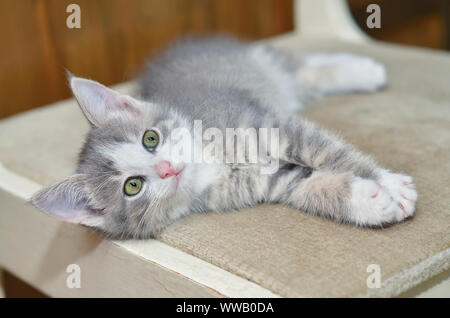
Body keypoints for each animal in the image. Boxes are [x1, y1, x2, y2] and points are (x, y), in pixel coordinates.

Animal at [30, 35, 418, 238]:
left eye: (150, 139)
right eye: (133, 186)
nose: (168, 168)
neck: (209, 160)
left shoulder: (270, 127)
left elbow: (332, 152)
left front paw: (391, 185)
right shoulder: (269, 180)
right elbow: (310, 187)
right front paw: (369, 201)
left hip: (255, 66)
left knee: (298, 66)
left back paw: (365, 69)